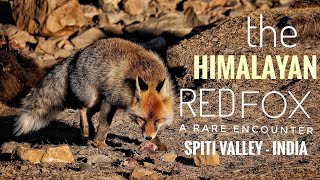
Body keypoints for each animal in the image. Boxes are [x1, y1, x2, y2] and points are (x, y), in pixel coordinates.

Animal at [14, 38, 175, 150]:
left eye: (158, 120)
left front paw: (157, 143)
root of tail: (79, 52)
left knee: (89, 113)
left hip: (97, 103)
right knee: (83, 109)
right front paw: (99, 143)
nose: (147, 138)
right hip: (93, 98)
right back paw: (86, 132)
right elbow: (104, 124)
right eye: (141, 119)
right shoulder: (110, 100)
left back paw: (89, 132)